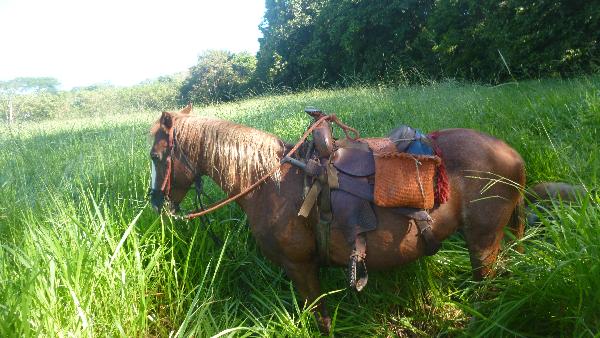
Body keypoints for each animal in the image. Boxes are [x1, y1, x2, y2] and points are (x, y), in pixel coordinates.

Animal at [149, 106, 524, 332]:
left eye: (155, 156)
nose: (155, 202)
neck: (270, 182)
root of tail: (512, 154)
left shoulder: (300, 267)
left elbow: (321, 318)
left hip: (483, 242)